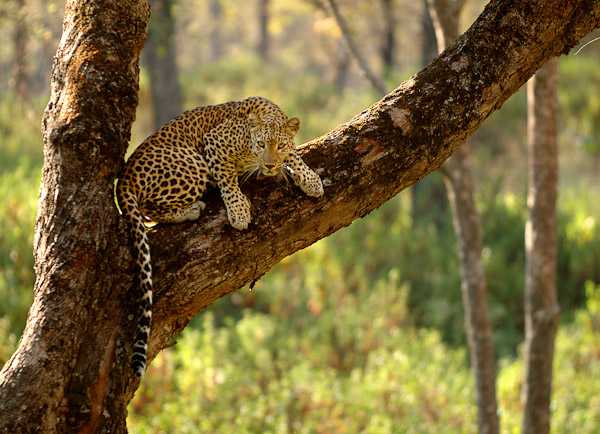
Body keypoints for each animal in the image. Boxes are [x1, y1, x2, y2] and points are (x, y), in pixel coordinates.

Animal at [115, 95, 326, 376]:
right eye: (261, 144)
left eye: (278, 145)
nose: (269, 165)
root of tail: (123, 180)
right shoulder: (214, 143)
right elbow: (227, 178)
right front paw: (238, 211)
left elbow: (294, 154)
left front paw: (309, 179)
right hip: (192, 162)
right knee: (150, 210)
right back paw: (192, 209)